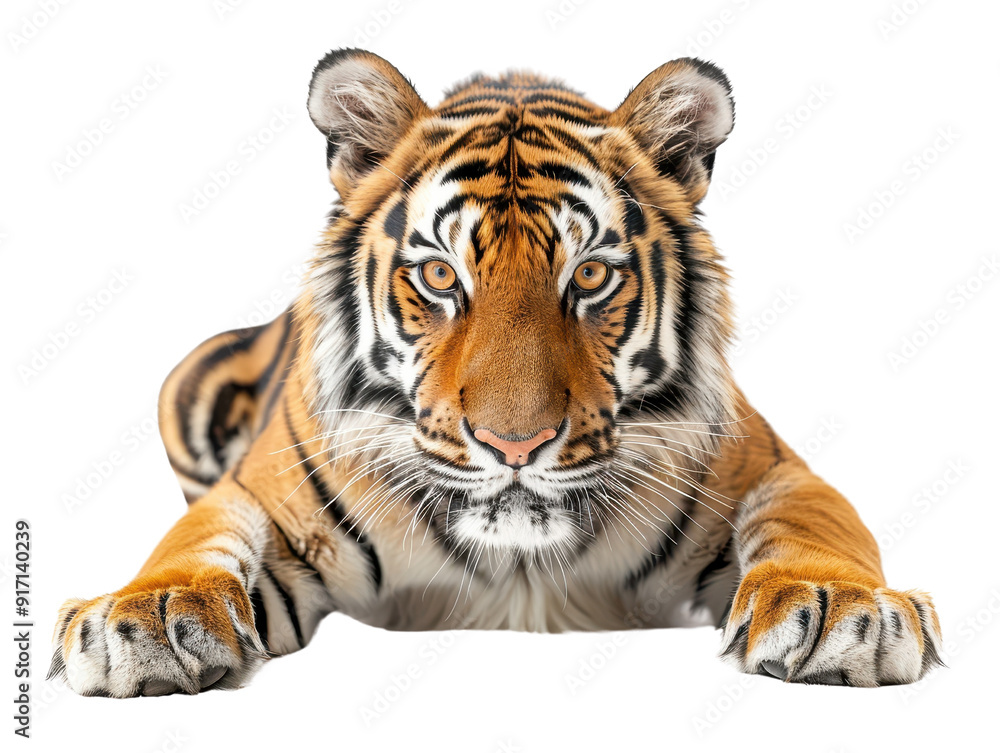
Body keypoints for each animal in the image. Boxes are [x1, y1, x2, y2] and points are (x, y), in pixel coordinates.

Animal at [49, 49, 943, 697]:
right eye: (441, 277)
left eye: (590, 276)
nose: (515, 446)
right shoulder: (263, 489)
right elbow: (192, 538)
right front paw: (146, 616)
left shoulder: (773, 467)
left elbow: (817, 524)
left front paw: (841, 609)